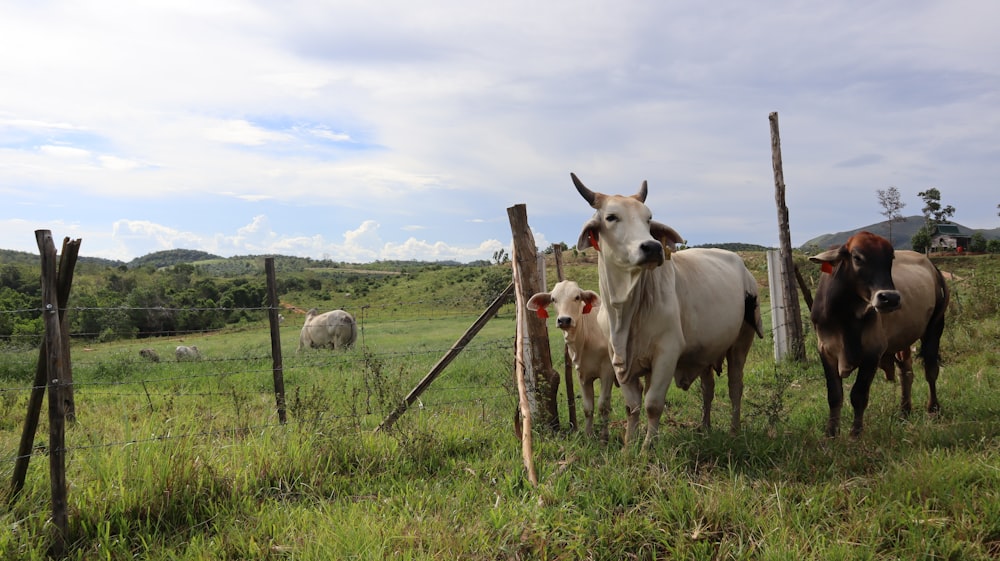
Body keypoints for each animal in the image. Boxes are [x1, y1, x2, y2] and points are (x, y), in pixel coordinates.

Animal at [576, 173, 760, 448]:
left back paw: (734, 431)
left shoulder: (667, 353)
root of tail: (744, 269)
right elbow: (632, 406)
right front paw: (629, 445)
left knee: (735, 386)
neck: (624, 311)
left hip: (741, 341)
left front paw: (647, 447)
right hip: (706, 351)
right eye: (611, 217)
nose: (652, 247)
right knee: (708, 388)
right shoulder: (620, 362)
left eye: (648, 218)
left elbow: (652, 404)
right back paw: (705, 428)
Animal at [808, 232, 948, 438]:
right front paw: (831, 434)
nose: (890, 298)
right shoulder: (825, 350)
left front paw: (855, 434)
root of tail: (933, 268)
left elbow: (858, 395)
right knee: (906, 373)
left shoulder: (872, 352)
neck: (844, 314)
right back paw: (904, 411)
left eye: (890, 259)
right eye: (857, 257)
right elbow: (834, 395)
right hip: (901, 341)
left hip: (935, 328)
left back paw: (933, 409)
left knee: (931, 371)